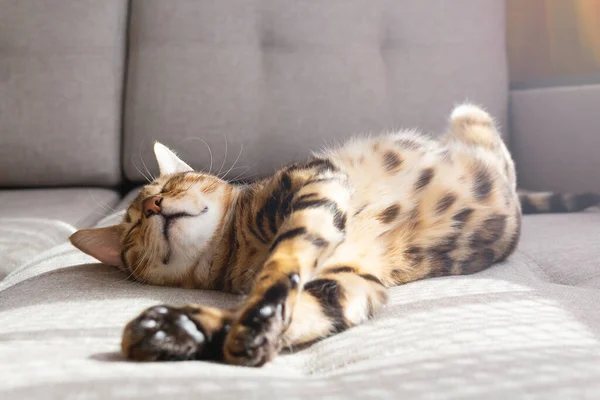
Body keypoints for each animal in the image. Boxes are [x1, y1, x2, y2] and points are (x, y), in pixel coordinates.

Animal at [71, 104, 600, 368]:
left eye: (170, 185)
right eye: (132, 226)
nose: (153, 206)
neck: (237, 249)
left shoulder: (316, 182)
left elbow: (284, 262)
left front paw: (244, 318)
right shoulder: (354, 283)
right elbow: (306, 308)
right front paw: (187, 329)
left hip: (468, 117)